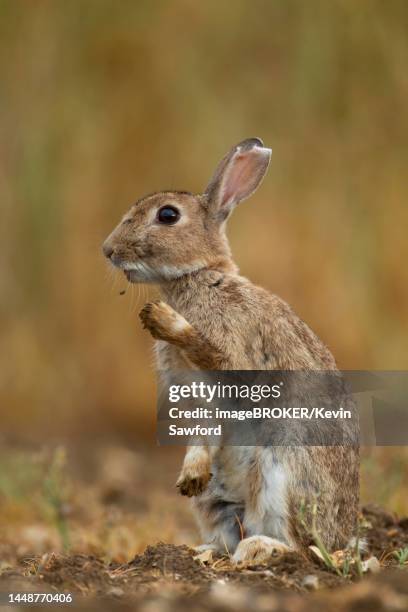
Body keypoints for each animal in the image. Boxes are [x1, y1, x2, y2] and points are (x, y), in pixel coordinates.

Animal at [103, 139, 358, 564]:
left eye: (168, 215)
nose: (108, 250)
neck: (199, 279)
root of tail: (347, 539)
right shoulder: (190, 393)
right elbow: (200, 432)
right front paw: (190, 475)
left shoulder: (238, 350)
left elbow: (219, 357)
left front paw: (163, 319)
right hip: (216, 500)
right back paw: (200, 550)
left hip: (282, 466)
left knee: (302, 546)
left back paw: (258, 548)